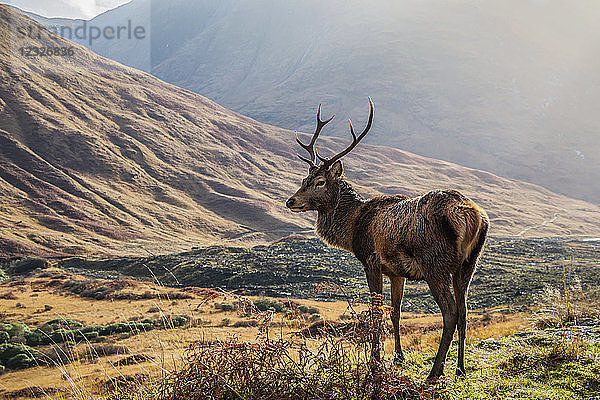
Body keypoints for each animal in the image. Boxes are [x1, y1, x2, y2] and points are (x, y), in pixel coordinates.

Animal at [286, 98, 488, 380]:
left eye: (320, 181)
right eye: (304, 178)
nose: (290, 201)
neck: (352, 227)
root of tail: (471, 216)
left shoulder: (371, 261)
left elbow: (376, 312)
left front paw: (375, 362)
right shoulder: (396, 271)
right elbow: (396, 312)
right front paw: (398, 358)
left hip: (434, 262)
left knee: (450, 311)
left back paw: (435, 371)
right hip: (468, 263)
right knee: (465, 311)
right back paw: (460, 368)